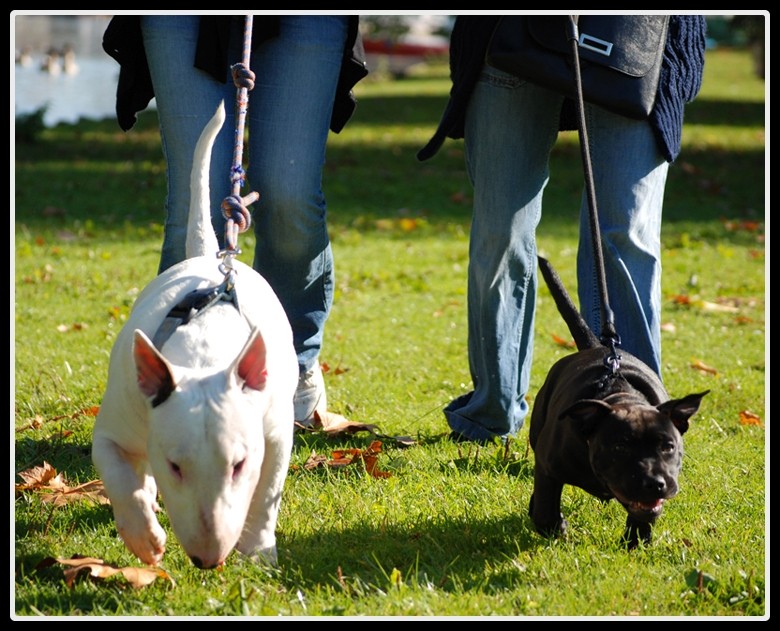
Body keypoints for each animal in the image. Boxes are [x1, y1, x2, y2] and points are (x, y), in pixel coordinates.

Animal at [532, 256, 708, 548]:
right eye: (620, 447)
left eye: (668, 447)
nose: (655, 482)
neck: (622, 396)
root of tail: (598, 346)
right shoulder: (548, 466)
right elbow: (545, 506)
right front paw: (555, 527)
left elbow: (643, 515)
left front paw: (636, 541)